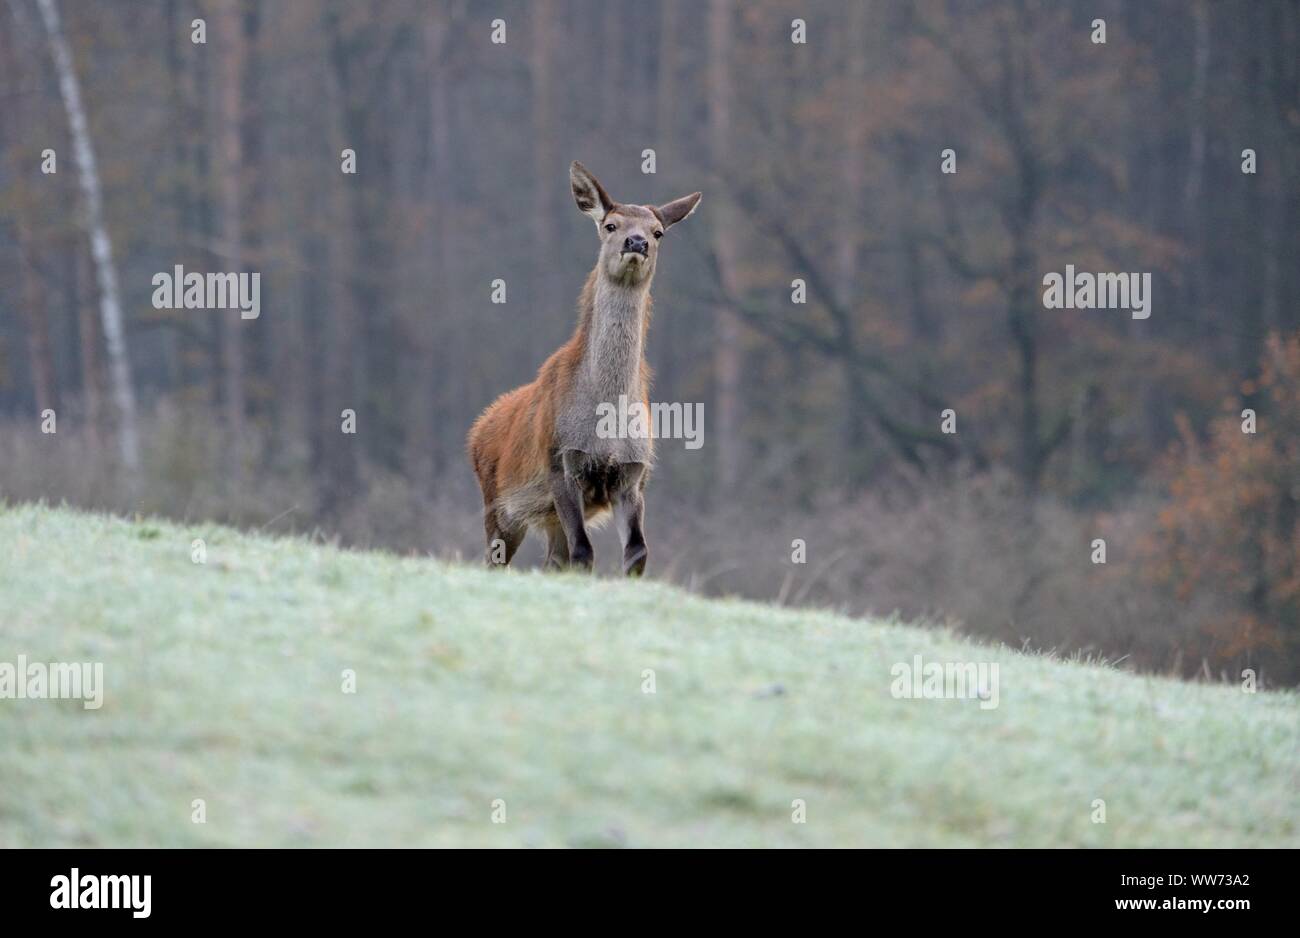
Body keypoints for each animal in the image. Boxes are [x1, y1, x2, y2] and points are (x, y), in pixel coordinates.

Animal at [470, 159, 702, 576]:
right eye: (611, 225)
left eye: (658, 231)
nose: (636, 243)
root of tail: (477, 430)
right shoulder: (561, 464)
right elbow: (583, 553)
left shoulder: (632, 476)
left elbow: (637, 553)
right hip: (498, 503)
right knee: (496, 559)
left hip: (545, 516)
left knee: (553, 559)